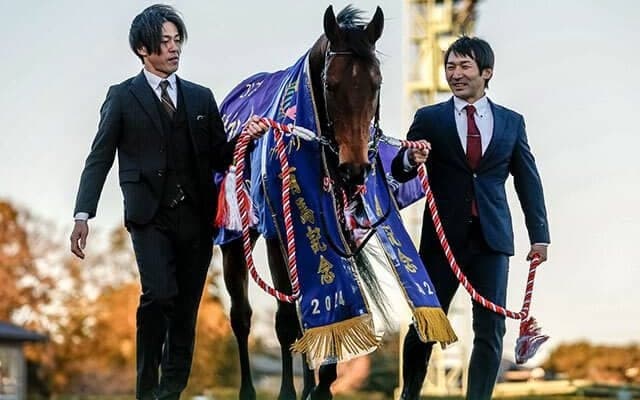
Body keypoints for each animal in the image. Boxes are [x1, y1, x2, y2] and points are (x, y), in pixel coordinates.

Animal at [220, 5, 384, 400]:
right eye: (331, 85)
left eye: (375, 84)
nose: (354, 169)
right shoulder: (278, 232)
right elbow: (285, 320)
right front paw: (288, 392)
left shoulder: (335, 231)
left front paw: (322, 384)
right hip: (233, 235)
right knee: (242, 315)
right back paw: (248, 390)